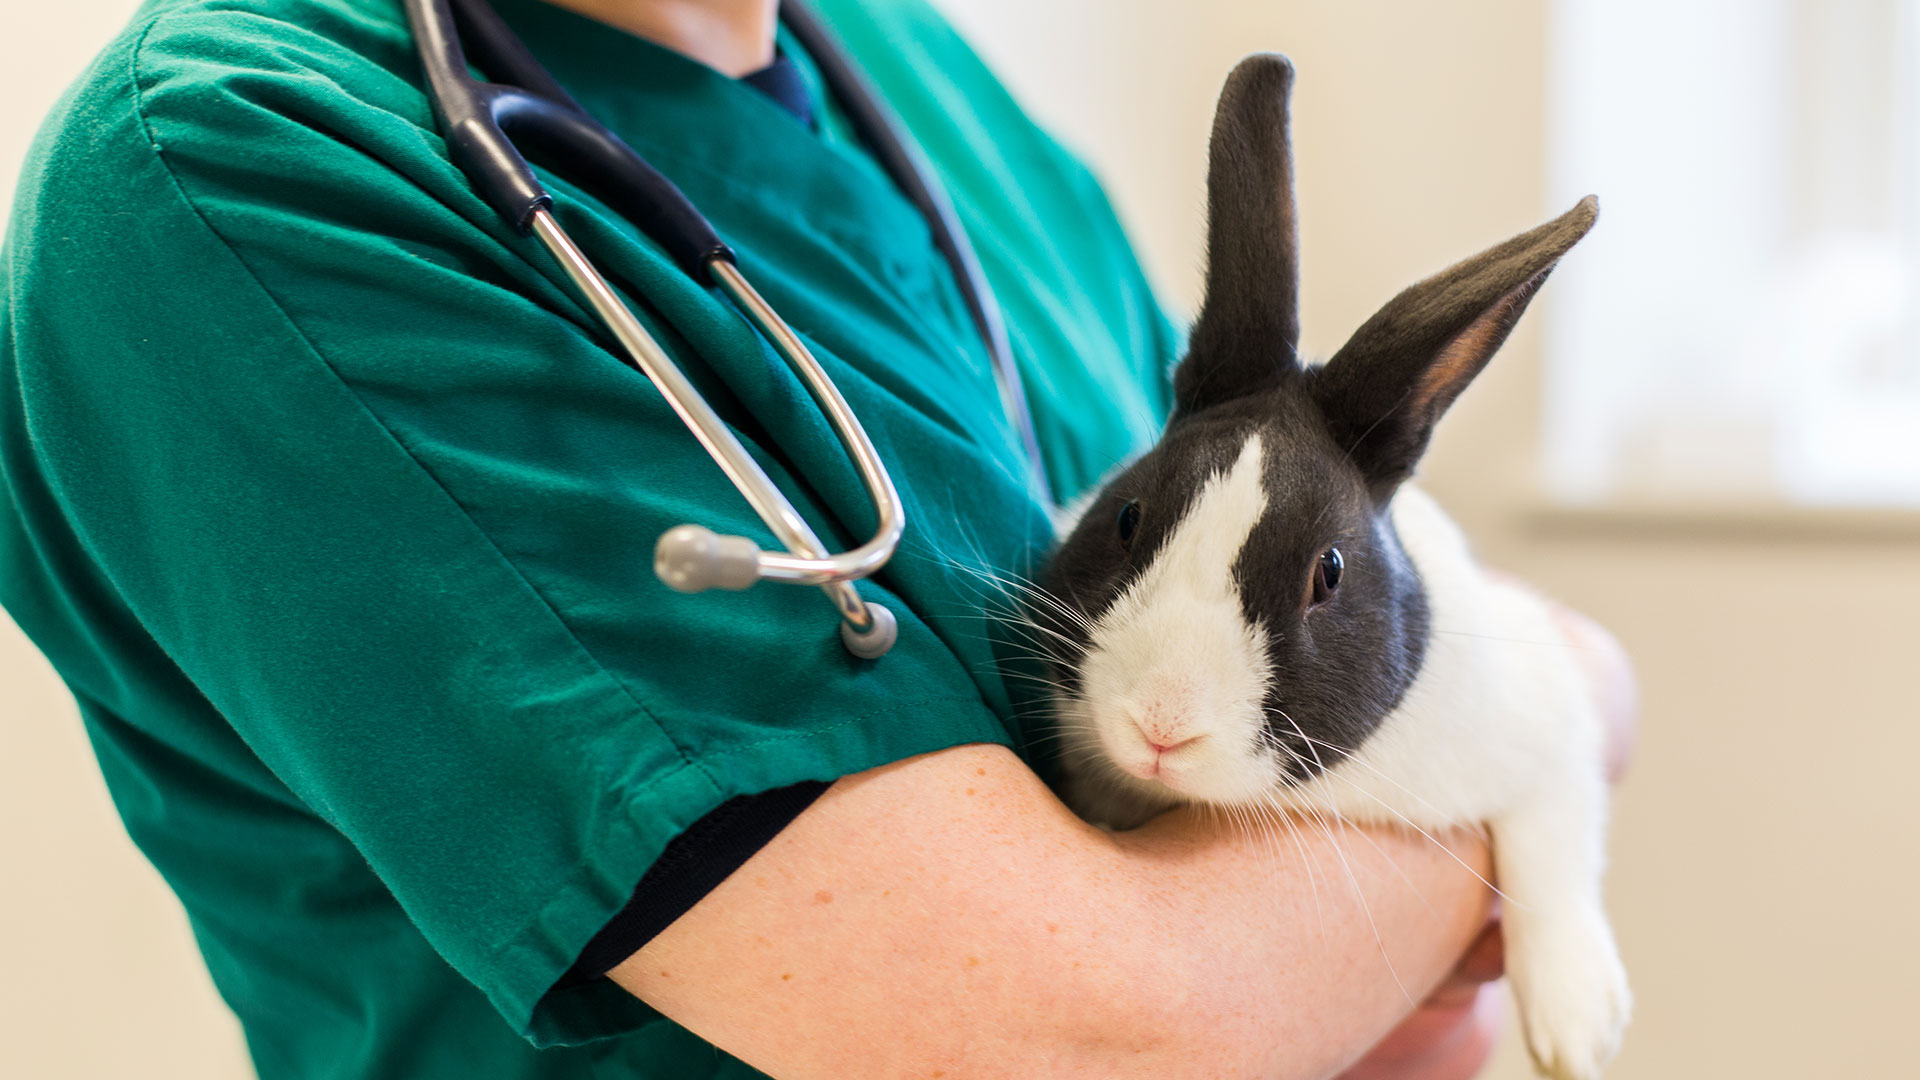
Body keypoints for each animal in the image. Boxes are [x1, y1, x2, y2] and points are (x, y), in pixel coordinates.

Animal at [1034, 55, 1629, 1080]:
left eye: (1330, 574)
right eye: (1129, 516)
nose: (1161, 726)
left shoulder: (1549, 715)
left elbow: (1554, 838)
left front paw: (1580, 1028)